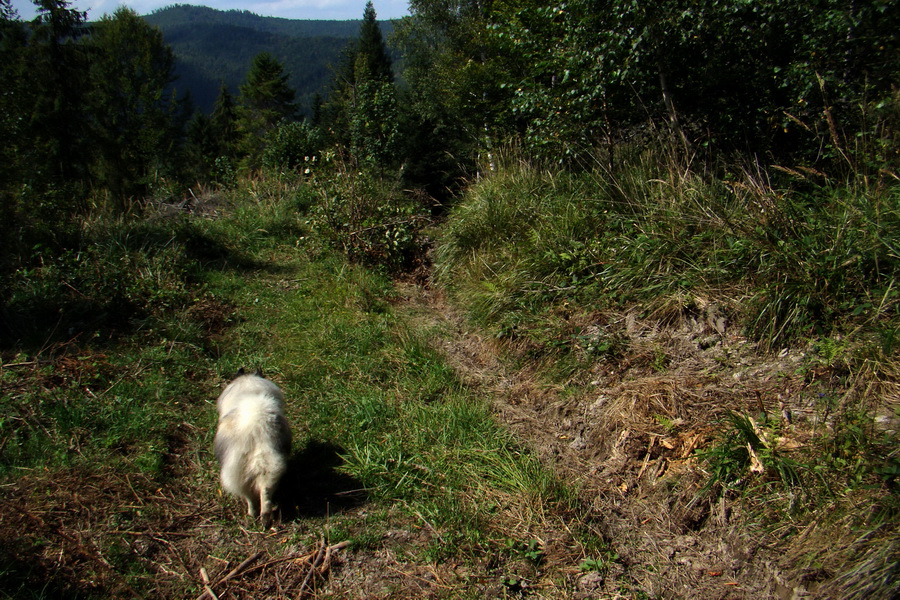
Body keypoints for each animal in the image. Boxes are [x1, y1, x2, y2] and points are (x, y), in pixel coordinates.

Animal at [214, 368, 292, 524]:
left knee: (250, 496)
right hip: (267, 469)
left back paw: (254, 515)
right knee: (264, 494)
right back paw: (264, 518)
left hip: (239, 473)